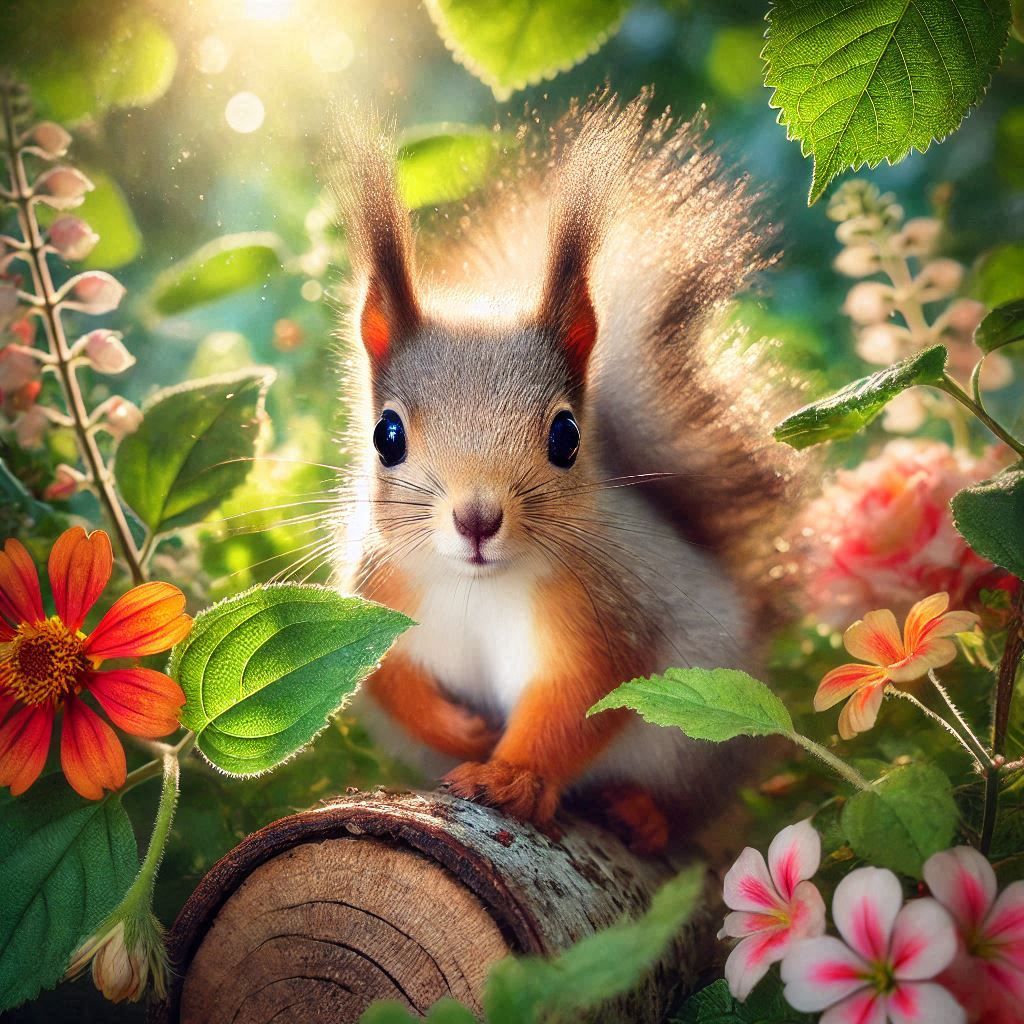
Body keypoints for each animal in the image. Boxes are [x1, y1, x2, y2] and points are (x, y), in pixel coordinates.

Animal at [330, 93, 798, 854]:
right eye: (386, 436)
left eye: (566, 436)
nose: (477, 519)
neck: (477, 587)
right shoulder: (375, 597)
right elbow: (385, 678)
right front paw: (463, 731)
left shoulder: (605, 615)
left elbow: (580, 702)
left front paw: (510, 775)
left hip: (708, 740)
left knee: (686, 809)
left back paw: (642, 812)